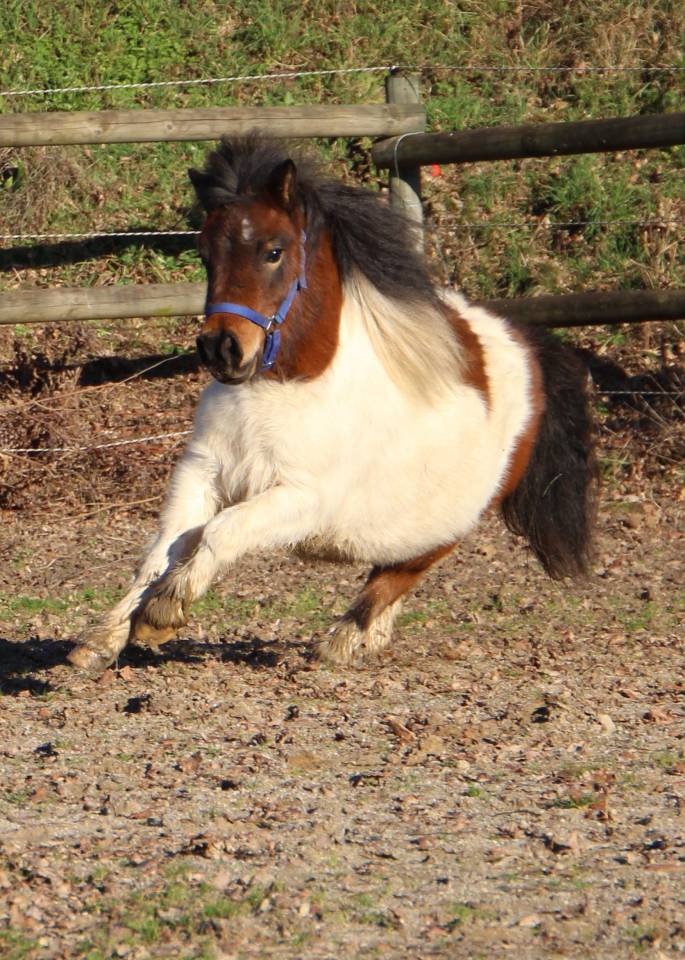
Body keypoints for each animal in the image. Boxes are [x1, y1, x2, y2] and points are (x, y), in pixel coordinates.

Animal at [68, 136, 597, 676]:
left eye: (273, 251)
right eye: (204, 254)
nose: (222, 349)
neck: (290, 383)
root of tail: (528, 346)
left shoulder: (302, 498)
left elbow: (220, 530)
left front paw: (163, 612)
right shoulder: (202, 472)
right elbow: (160, 550)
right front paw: (103, 639)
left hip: (455, 519)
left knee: (400, 575)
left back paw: (342, 641)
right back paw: (371, 637)